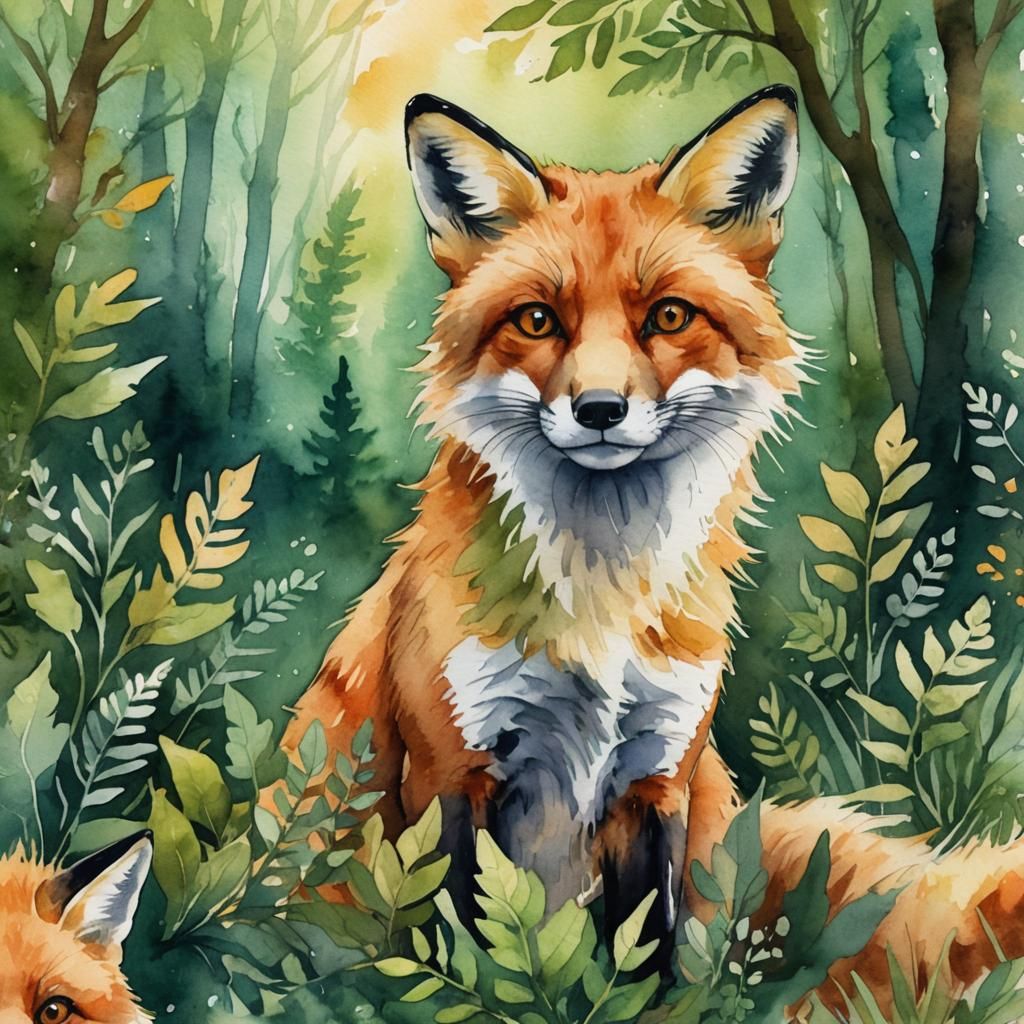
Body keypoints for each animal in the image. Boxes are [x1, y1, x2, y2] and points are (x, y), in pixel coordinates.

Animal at [280, 86, 1024, 1011]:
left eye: (668, 316)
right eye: (538, 320)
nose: (600, 408)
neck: (598, 602)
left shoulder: (656, 779)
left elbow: (648, 967)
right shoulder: (450, 775)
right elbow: (463, 965)